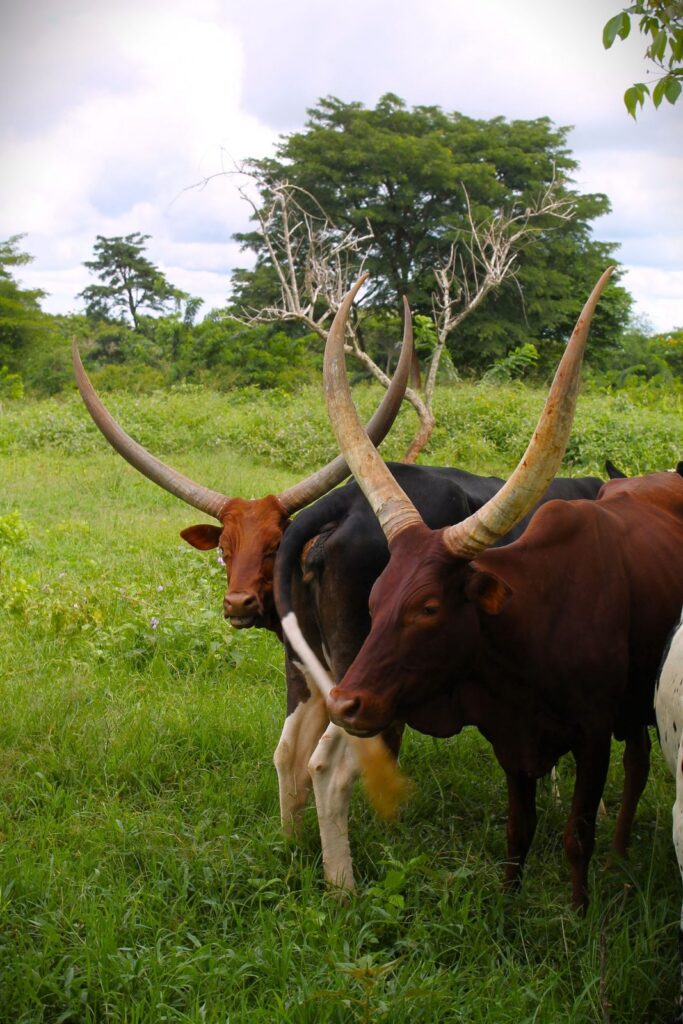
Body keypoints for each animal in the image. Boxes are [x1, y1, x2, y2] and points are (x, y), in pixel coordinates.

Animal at [278, 268, 683, 910]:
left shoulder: (590, 733)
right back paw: (341, 883)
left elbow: (566, 832)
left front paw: (564, 910)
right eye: (377, 599)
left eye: (429, 606)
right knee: (326, 764)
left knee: (297, 754)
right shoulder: (522, 738)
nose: (349, 702)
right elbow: (534, 826)